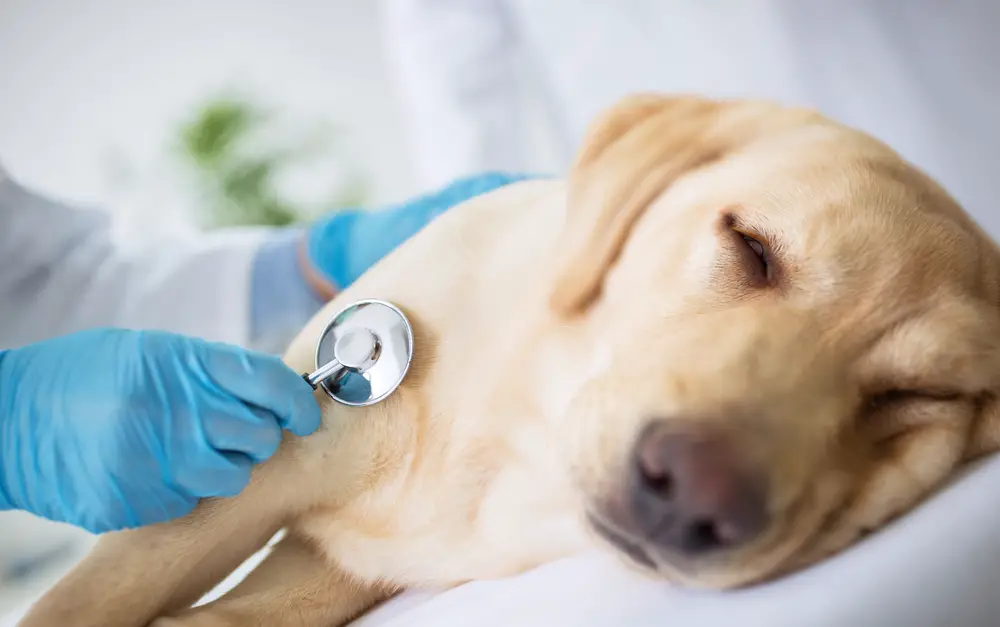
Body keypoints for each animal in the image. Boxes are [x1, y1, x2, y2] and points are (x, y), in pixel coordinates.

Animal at [15, 94, 1000, 627]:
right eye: (752, 249)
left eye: (913, 393)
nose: (692, 495)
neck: (503, 451)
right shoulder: (249, 474)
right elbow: (84, 599)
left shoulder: (333, 574)